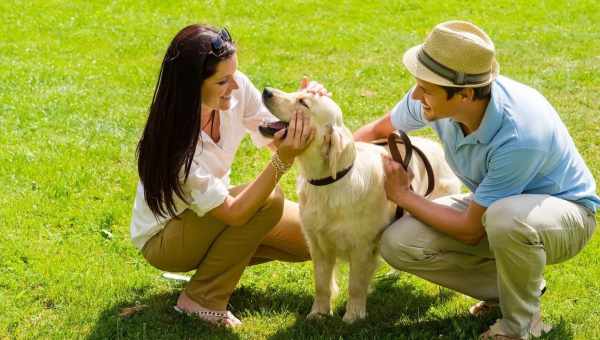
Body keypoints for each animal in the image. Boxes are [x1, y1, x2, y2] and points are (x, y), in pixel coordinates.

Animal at [258, 86, 460, 322]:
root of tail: (435, 145)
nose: (266, 91)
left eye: (303, 102)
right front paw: (318, 313)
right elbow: (321, 284)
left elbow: (355, 285)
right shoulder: (318, 244)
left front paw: (353, 315)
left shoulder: (362, 247)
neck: (330, 182)